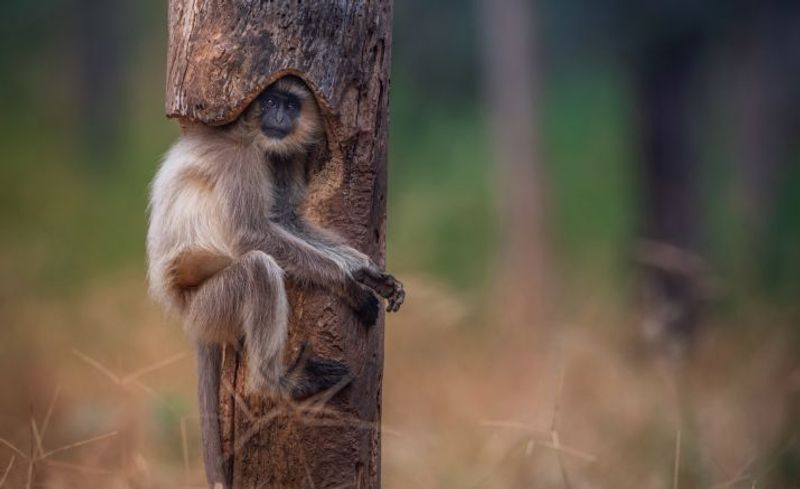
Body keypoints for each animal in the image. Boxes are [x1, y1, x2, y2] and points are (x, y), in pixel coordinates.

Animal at [146, 74, 404, 486]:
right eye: (268, 101)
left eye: (290, 104)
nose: (278, 116)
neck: (245, 131)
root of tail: (185, 311)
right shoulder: (241, 158)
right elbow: (254, 235)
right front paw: (349, 285)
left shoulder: (277, 156)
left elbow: (285, 219)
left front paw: (367, 273)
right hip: (210, 302)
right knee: (258, 269)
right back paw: (279, 383)